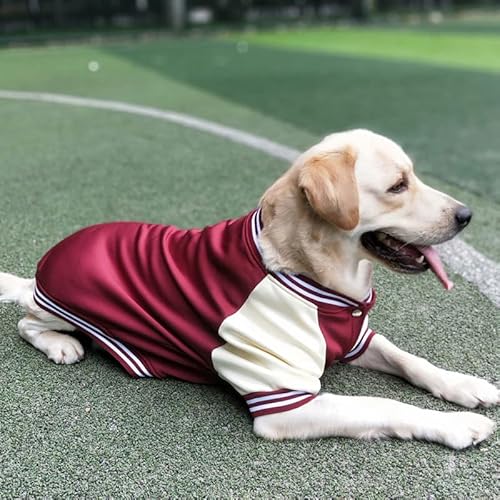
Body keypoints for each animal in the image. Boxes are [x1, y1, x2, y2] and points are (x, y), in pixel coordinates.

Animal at [0, 129, 496, 450]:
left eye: (414, 176)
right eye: (397, 186)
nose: (467, 215)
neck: (322, 282)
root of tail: (52, 257)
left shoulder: (357, 337)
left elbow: (411, 361)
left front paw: (466, 385)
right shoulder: (286, 401)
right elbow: (386, 406)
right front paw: (456, 426)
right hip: (59, 305)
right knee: (26, 319)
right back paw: (60, 344)